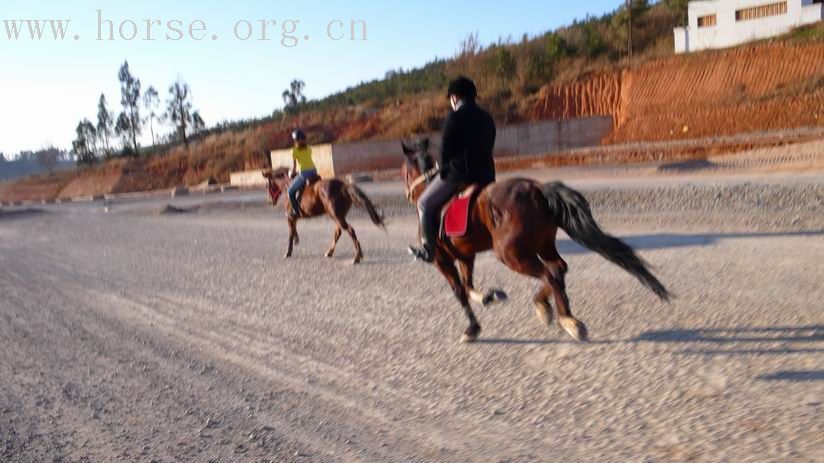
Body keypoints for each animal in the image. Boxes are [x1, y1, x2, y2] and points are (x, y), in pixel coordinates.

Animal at [400, 141, 668, 344]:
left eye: (404, 171)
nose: (408, 194)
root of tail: (538, 189)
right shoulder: (466, 256)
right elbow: (468, 286)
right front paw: (489, 296)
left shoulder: (441, 259)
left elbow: (459, 291)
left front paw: (472, 328)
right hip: (543, 244)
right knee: (558, 269)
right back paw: (547, 308)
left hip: (510, 253)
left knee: (549, 273)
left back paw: (568, 320)